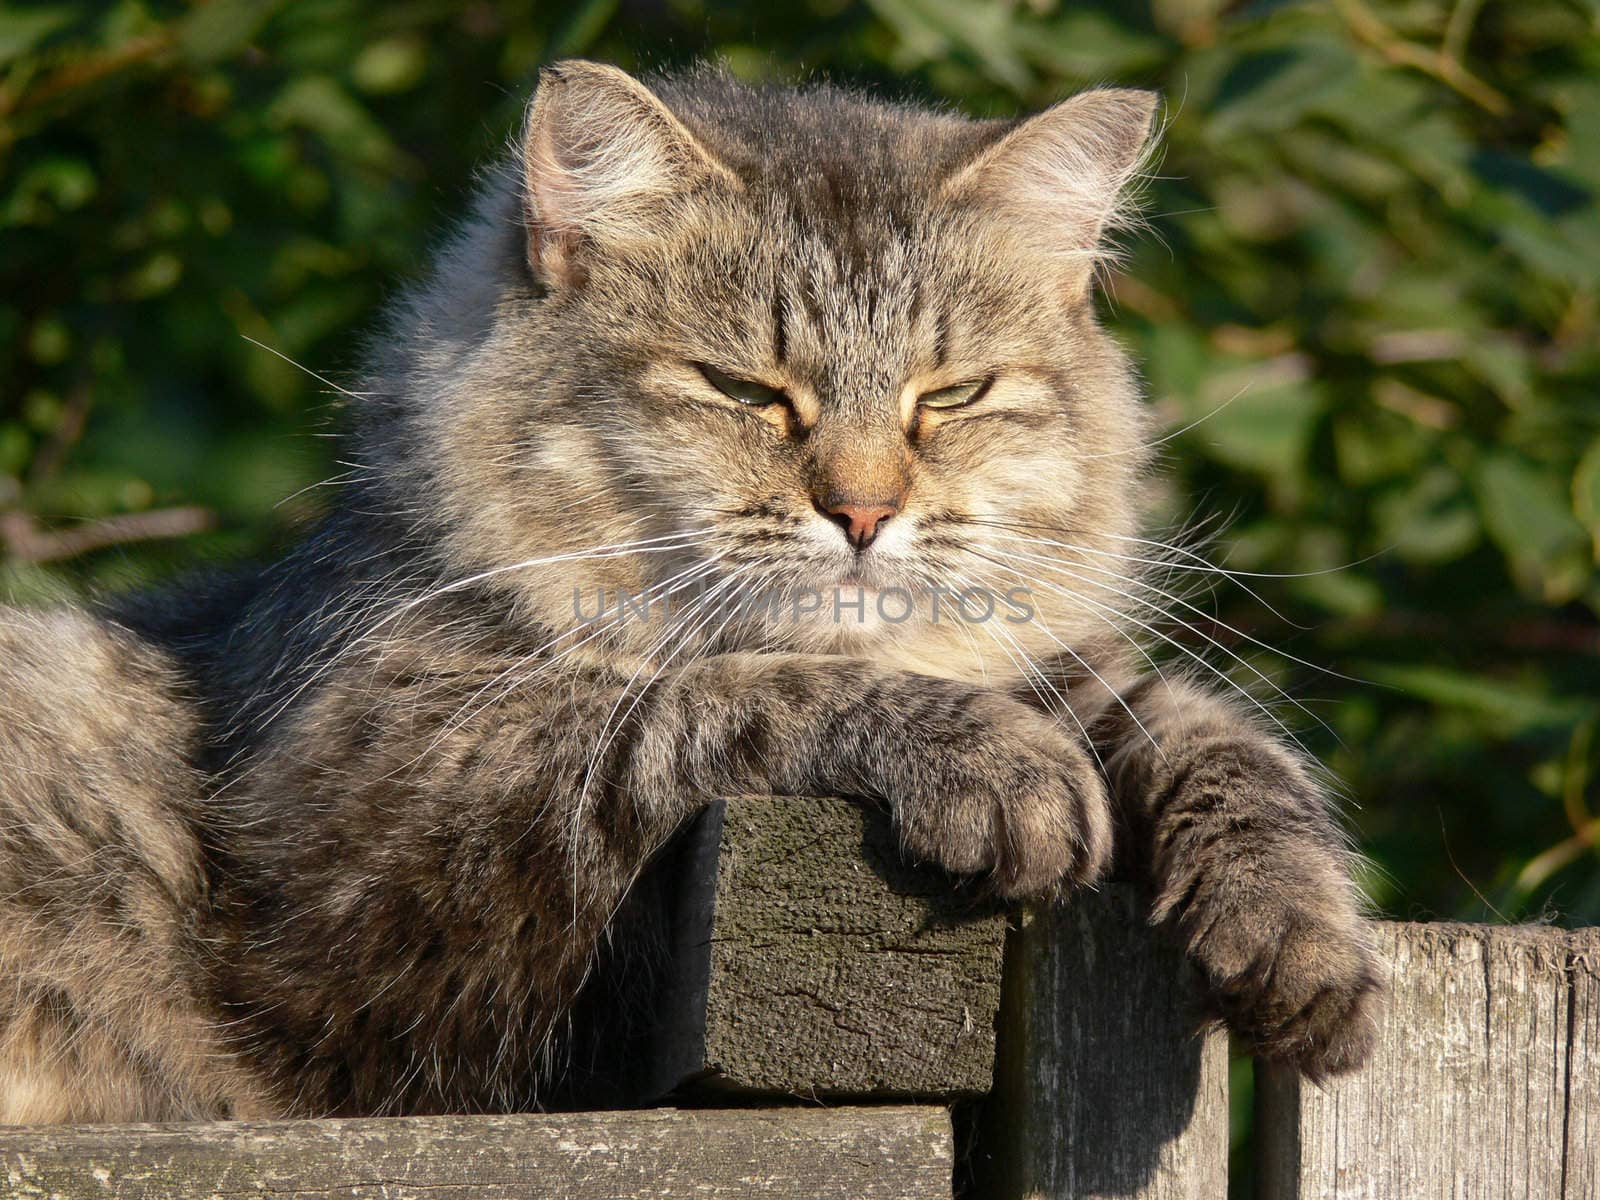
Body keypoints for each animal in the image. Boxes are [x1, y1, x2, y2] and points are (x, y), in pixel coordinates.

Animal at [0, 58, 1376, 1126]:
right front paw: (996, 765)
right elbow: (727, 688)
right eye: (745, 390)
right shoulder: (380, 849)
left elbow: (1208, 731)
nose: (864, 514)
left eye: (952, 396)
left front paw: (1305, 942)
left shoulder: (1067, 669)